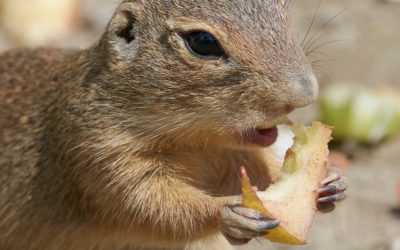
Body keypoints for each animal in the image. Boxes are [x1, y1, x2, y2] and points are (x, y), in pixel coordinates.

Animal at [0, 0, 346, 250]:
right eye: (202, 42)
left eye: (283, 10)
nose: (305, 93)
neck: (195, 142)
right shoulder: (98, 153)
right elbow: (152, 206)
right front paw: (230, 213)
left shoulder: (238, 156)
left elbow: (263, 172)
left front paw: (330, 185)